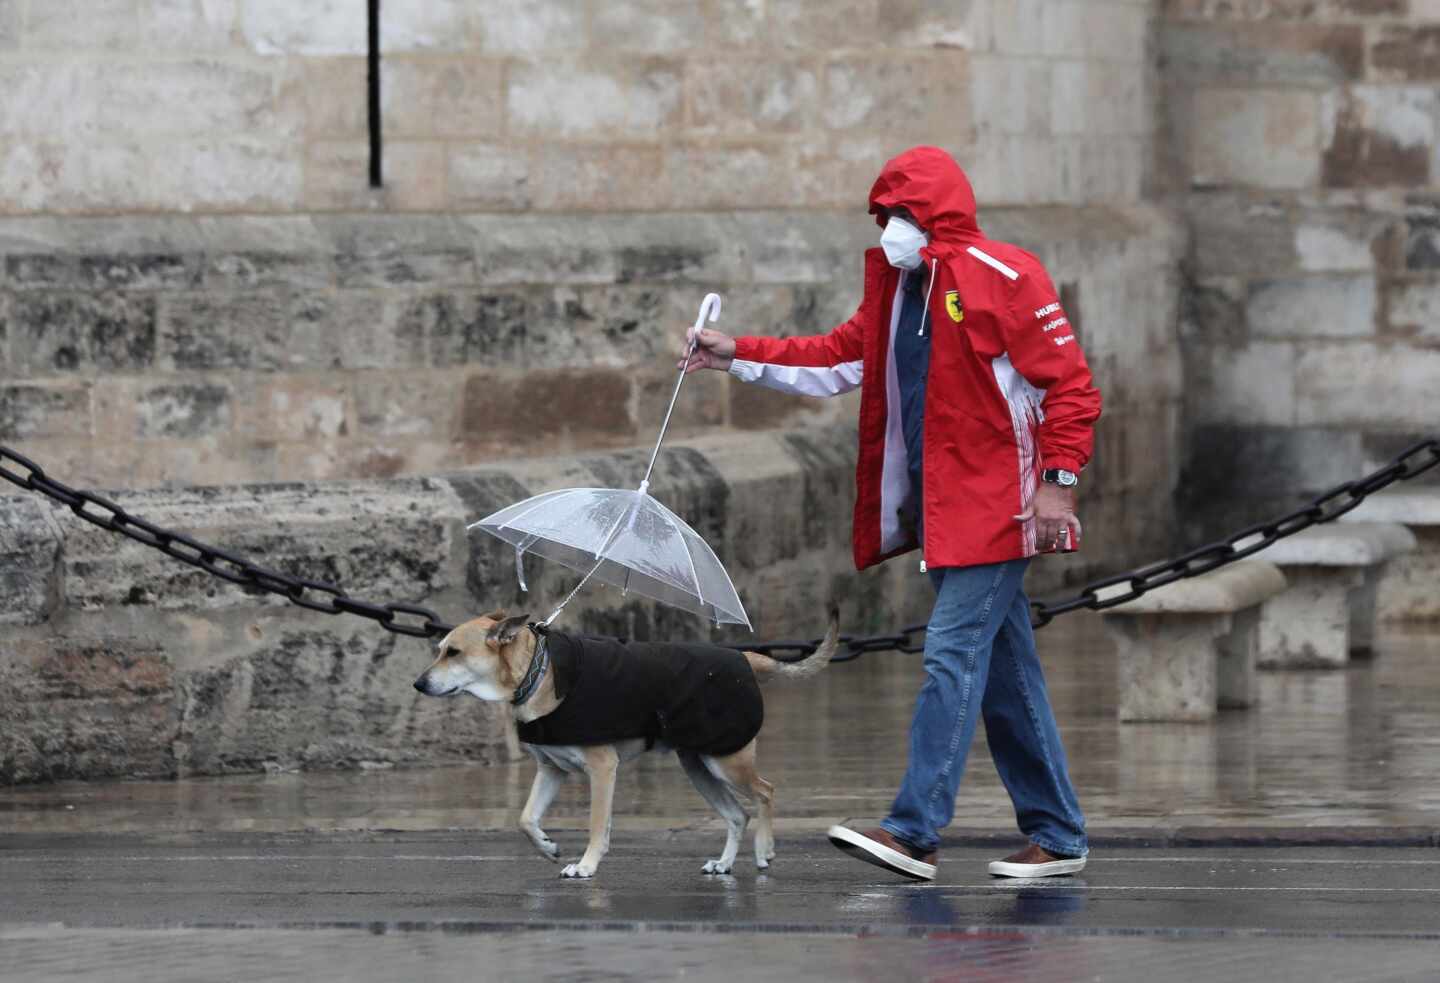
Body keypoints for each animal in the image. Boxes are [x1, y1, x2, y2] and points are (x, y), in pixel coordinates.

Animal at [411, 610, 840, 880]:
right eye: (439, 649)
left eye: (453, 652)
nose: (418, 684)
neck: (538, 672)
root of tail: (746, 658)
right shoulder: (551, 770)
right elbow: (526, 819)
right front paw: (548, 846)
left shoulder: (602, 769)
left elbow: (597, 825)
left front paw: (585, 866)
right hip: (698, 765)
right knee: (737, 815)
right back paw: (724, 863)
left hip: (727, 761)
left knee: (766, 792)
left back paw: (765, 850)